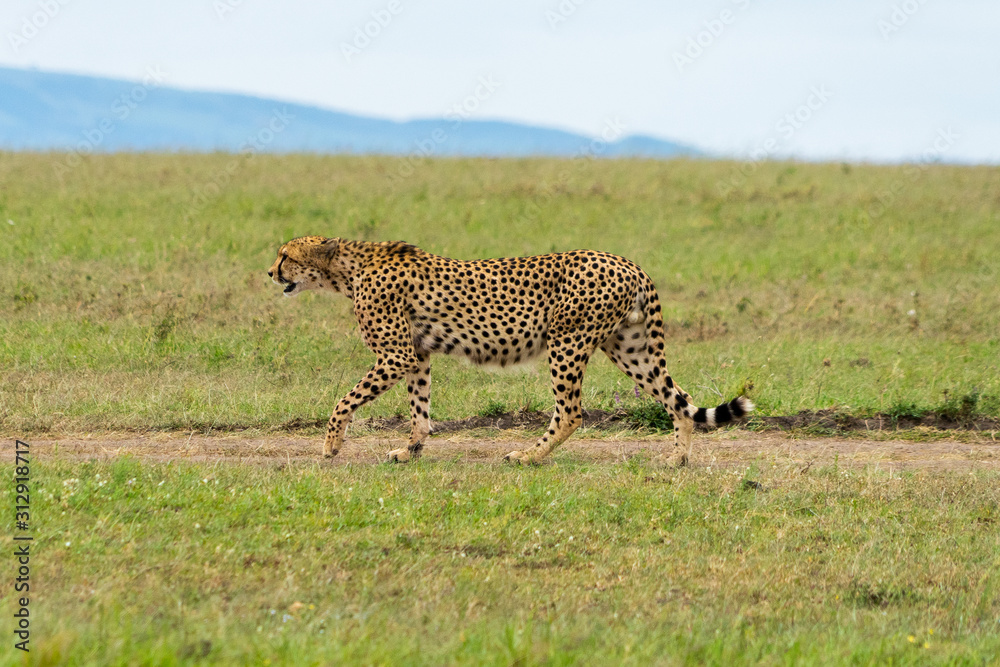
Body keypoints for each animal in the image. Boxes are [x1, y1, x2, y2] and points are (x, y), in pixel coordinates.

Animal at [266, 239, 752, 464]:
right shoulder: (417, 356)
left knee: (571, 413)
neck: (348, 268)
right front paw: (410, 451)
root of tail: (629, 263)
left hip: (566, 341)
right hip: (630, 348)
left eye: (285, 255)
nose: (270, 272)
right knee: (680, 399)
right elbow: (420, 410)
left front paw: (330, 446)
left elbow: (343, 400)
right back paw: (678, 458)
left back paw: (527, 456)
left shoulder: (396, 355)